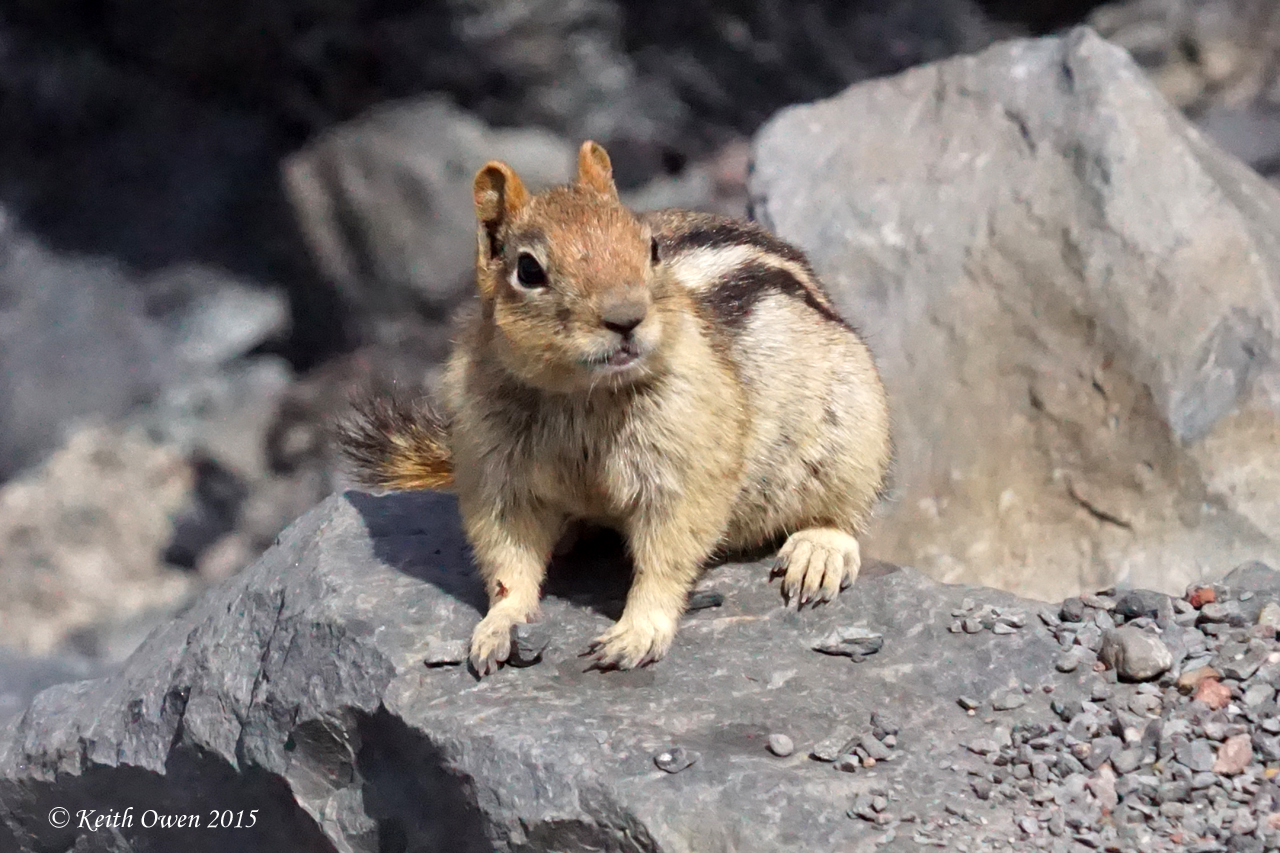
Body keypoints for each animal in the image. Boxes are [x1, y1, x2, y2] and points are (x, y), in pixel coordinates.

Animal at [338, 141, 892, 675]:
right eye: (528, 270)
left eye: (651, 247)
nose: (626, 318)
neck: (582, 394)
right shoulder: (494, 466)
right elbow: (507, 557)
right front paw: (499, 625)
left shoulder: (686, 461)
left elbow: (668, 553)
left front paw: (637, 632)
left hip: (854, 431)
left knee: (844, 511)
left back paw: (818, 552)